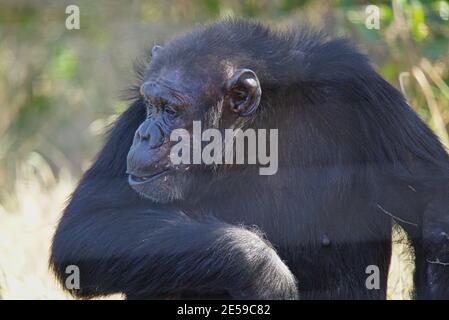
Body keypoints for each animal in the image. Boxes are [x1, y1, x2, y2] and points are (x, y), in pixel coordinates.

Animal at [50, 19, 448, 300]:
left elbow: (433, 203)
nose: (145, 133)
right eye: (151, 104)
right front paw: (264, 273)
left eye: (171, 110)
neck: (254, 130)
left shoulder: (361, 91)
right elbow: (89, 224)